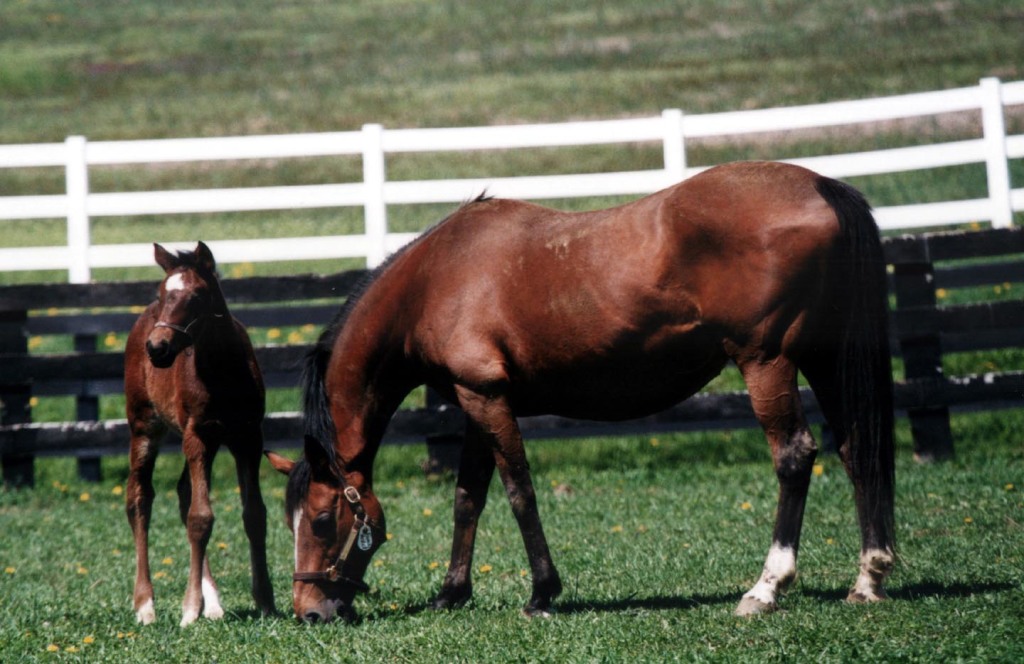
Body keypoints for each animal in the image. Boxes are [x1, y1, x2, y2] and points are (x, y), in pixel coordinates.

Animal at [124, 243, 276, 627]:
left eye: (197, 295)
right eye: (161, 294)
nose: (157, 347)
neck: (223, 372)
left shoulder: (248, 438)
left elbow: (254, 515)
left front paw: (266, 600)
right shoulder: (197, 436)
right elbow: (201, 517)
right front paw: (189, 609)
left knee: (182, 492)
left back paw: (215, 604)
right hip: (145, 426)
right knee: (139, 498)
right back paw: (145, 604)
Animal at [266, 160, 897, 623]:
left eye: (319, 521)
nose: (309, 612)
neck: (433, 280)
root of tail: (820, 184)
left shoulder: (487, 400)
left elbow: (519, 492)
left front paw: (542, 593)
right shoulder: (475, 403)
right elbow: (468, 498)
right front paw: (451, 593)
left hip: (767, 362)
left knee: (795, 456)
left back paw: (765, 588)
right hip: (823, 361)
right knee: (855, 449)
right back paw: (868, 578)